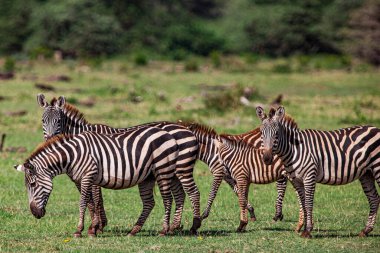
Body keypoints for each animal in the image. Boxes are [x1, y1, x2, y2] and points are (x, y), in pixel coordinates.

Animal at [14, 128, 181, 237]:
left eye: (33, 185)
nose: (35, 213)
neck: (71, 156)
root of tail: (168, 134)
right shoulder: (82, 179)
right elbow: (91, 202)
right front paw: (92, 229)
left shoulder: (88, 176)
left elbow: (83, 202)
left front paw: (79, 230)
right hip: (147, 177)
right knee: (149, 203)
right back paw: (134, 230)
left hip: (163, 170)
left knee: (167, 199)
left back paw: (164, 230)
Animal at [36, 94, 202, 235]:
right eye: (43, 121)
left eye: (58, 121)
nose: (49, 141)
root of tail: (187, 129)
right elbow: (90, 200)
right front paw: (97, 226)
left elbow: (96, 199)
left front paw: (96, 227)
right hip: (171, 172)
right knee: (180, 194)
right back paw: (174, 227)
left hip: (181, 168)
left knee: (193, 192)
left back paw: (194, 226)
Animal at [255, 105, 380, 238]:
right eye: (261, 133)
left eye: (277, 133)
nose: (267, 158)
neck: (294, 150)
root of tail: (375, 128)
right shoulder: (296, 181)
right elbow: (303, 203)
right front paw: (305, 228)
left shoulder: (310, 176)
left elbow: (308, 203)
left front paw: (308, 230)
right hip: (366, 173)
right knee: (374, 198)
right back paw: (366, 230)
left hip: (377, 167)